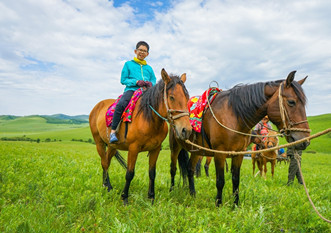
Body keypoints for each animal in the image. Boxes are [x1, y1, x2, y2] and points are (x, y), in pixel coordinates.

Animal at [90, 69, 192, 204]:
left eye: (187, 98)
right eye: (171, 97)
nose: (186, 130)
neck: (148, 119)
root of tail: (97, 106)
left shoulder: (155, 149)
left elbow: (152, 172)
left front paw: (151, 197)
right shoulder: (133, 149)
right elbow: (129, 173)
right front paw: (125, 198)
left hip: (112, 146)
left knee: (106, 161)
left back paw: (106, 185)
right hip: (99, 143)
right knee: (104, 163)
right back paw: (108, 187)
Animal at [171, 70, 312, 206]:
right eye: (291, 102)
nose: (305, 141)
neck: (234, 116)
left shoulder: (239, 154)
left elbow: (235, 180)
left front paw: (235, 204)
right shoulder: (219, 153)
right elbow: (220, 181)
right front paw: (218, 204)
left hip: (197, 151)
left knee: (190, 169)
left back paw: (192, 194)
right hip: (176, 147)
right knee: (173, 169)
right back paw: (172, 190)